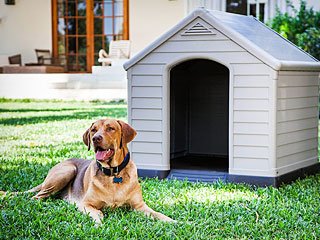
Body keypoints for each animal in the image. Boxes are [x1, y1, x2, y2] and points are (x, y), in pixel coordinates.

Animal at [26, 119, 174, 224]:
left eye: (110, 128)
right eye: (93, 130)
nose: (95, 138)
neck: (113, 174)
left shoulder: (139, 206)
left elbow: (156, 213)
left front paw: (172, 221)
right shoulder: (86, 204)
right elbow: (98, 214)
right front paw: (98, 224)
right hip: (68, 170)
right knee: (37, 197)